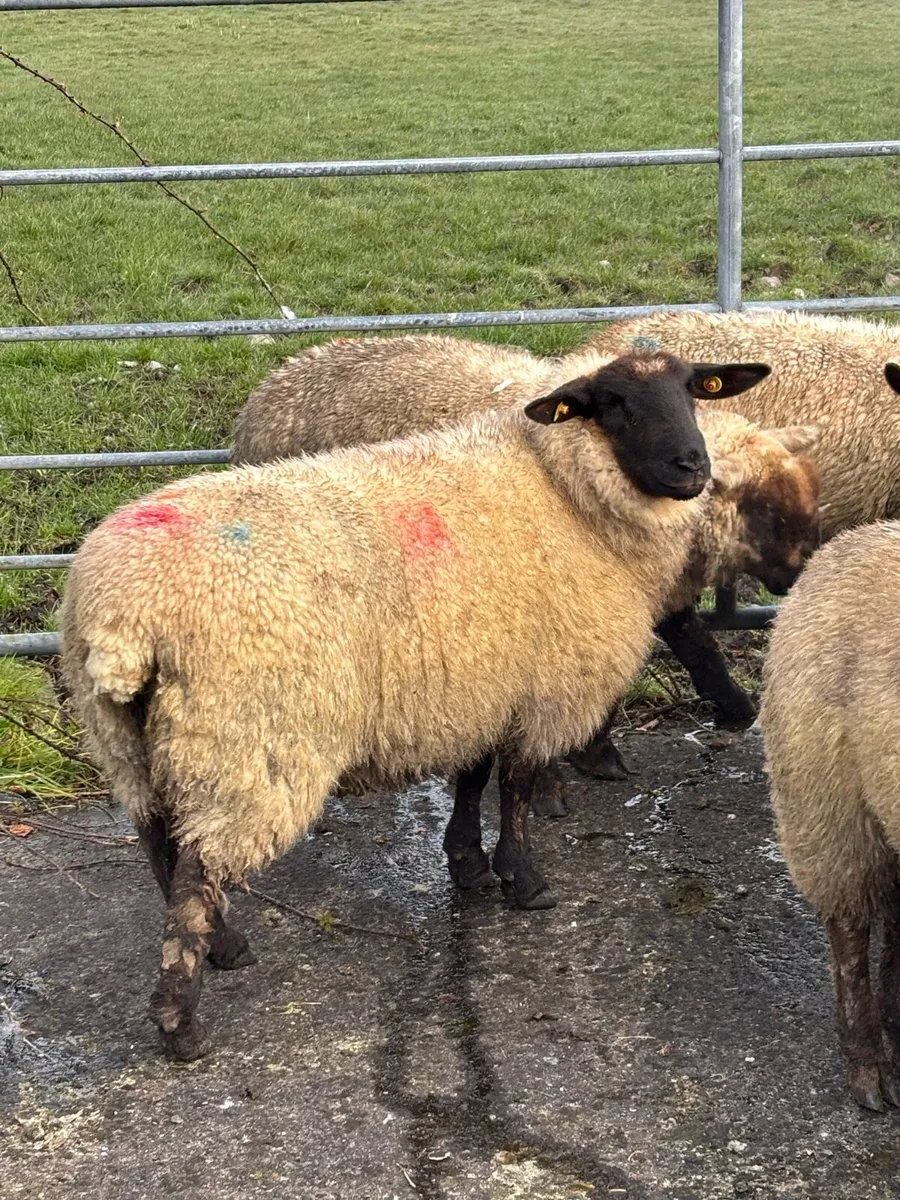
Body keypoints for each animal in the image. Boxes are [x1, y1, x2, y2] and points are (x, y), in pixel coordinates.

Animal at [62, 351, 769, 1060]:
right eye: (614, 404)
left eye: (693, 391)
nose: (693, 465)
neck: (564, 493)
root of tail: (125, 617)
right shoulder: (543, 685)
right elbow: (516, 787)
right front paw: (523, 882)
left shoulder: (482, 682)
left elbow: (475, 777)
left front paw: (468, 865)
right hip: (248, 736)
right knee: (197, 874)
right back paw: (182, 1020)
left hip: (129, 740)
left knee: (161, 847)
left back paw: (223, 946)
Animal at [233, 333, 821, 786]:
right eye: (767, 512)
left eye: (692, 394)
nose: (692, 464)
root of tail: (279, 377)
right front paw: (594, 752)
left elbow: (694, 644)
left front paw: (736, 707)